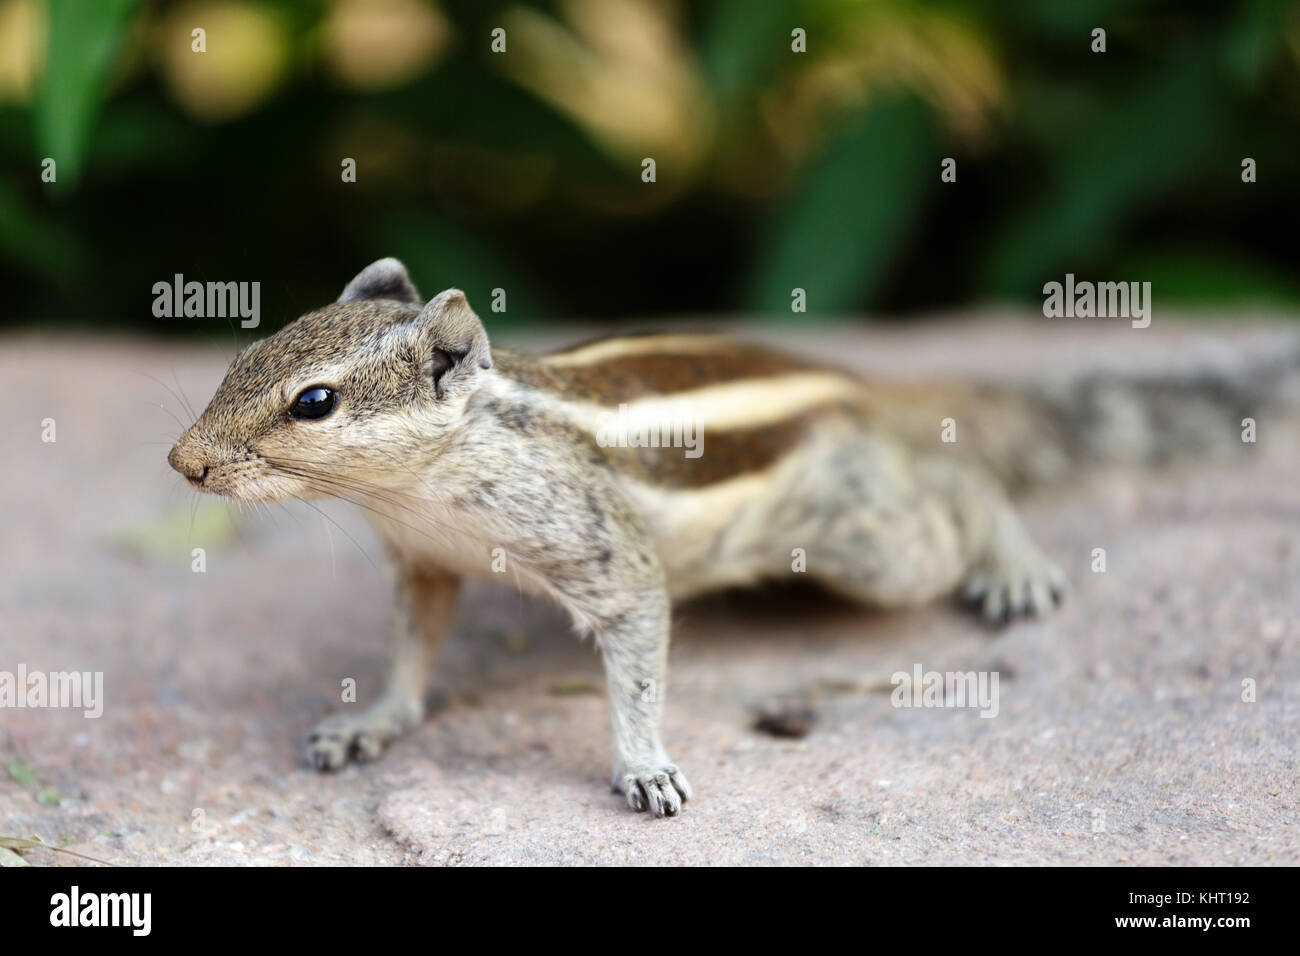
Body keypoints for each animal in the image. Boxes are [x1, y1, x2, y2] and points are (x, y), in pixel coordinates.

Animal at [168, 257, 1300, 817]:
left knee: (956, 480)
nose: (184, 463)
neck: (420, 488)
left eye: (313, 401)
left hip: (870, 541)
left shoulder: (605, 551)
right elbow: (412, 650)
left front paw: (644, 767)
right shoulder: (426, 565)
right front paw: (373, 722)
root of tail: (854, 379)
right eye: (241, 355)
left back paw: (1012, 561)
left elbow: (635, 648)